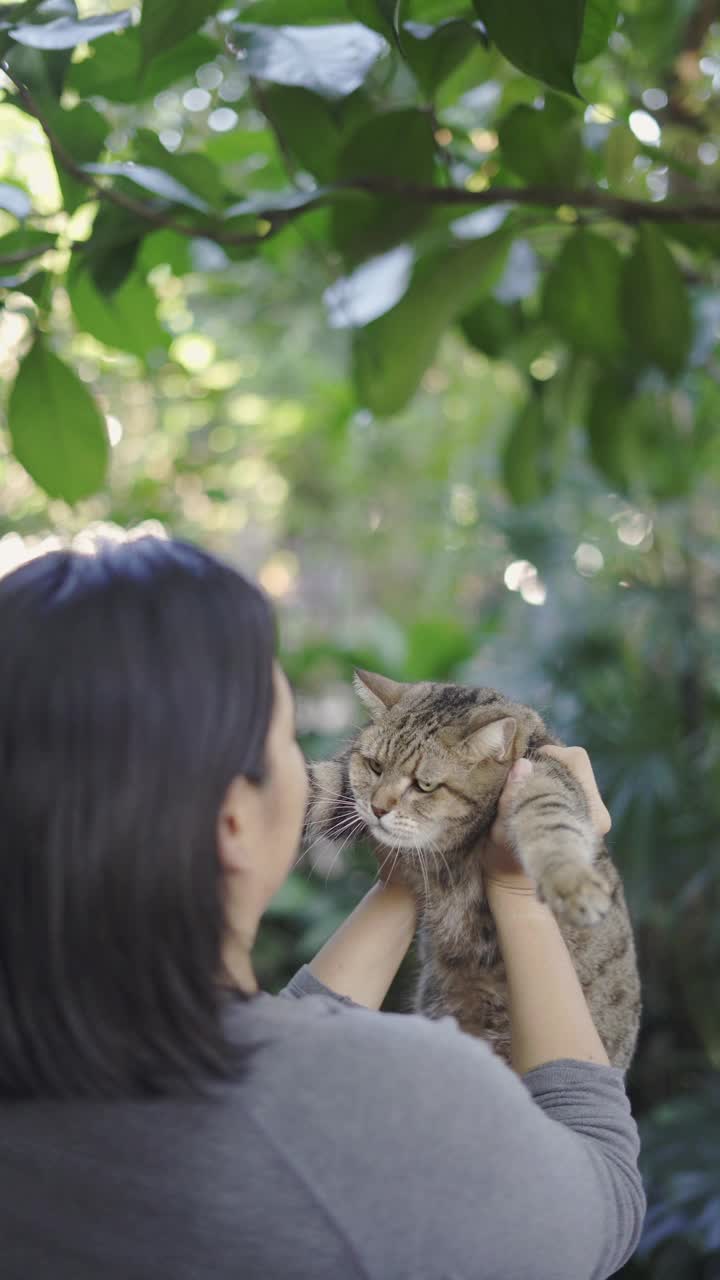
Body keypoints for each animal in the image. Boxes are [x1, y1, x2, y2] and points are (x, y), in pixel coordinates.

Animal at [304, 670, 640, 1070]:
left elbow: (551, 819)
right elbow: (307, 786)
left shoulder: (542, 778)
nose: (378, 808)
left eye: (424, 785)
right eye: (375, 766)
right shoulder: (339, 787)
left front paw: (570, 883)